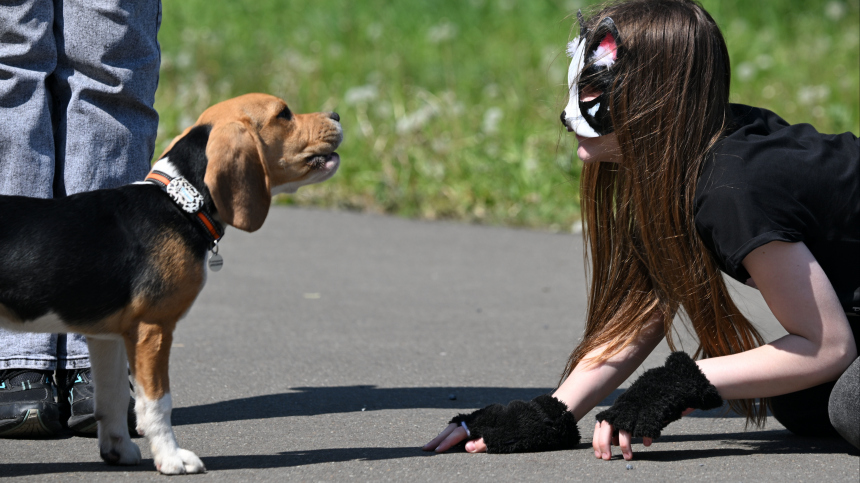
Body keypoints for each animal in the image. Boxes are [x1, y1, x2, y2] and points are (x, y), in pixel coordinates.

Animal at [0, 92, 342, 474]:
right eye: (283, 114)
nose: (336, 115)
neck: (180, 202)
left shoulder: (107, 337)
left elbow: (113, 398)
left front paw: (118, 450)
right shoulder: (153, 328)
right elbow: (157, 402)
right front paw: (171, 457)